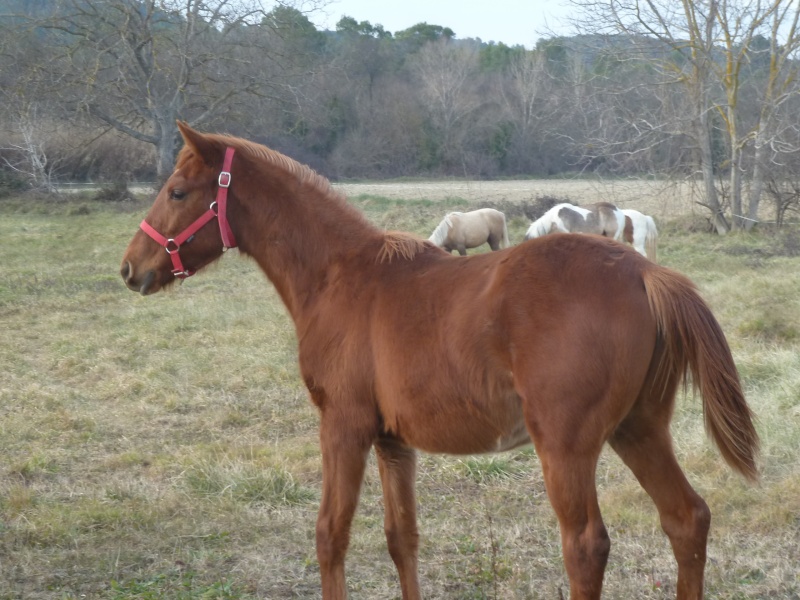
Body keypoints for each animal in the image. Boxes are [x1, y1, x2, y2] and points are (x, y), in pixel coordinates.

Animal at [117, 123, 756, 600]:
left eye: (178, 192)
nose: (130, 267)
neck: (340, 276)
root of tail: (645, 271)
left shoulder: (343, 426)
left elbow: (331, 535)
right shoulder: (393, 441)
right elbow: (402, 537)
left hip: (567, 445)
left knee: (586, 547)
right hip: (638, 428)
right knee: (686, 518)